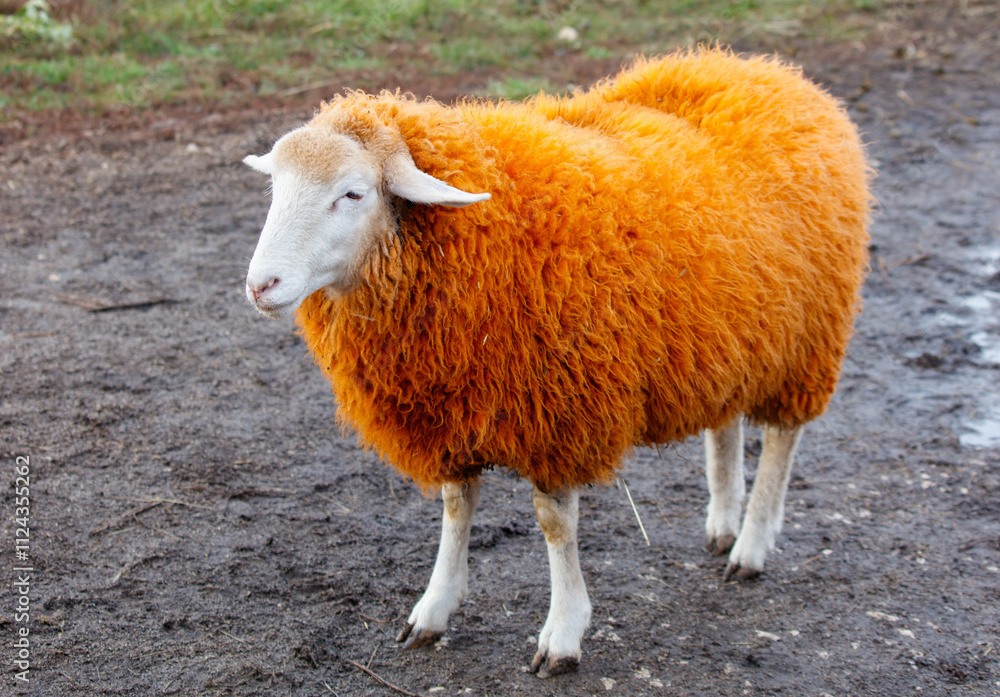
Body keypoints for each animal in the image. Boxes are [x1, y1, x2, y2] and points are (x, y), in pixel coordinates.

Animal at [241, 47, 870, 677]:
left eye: (352, 193)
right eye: (275, 187)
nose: (260, 285)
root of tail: (763, 69)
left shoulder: (561, 412)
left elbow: (554, 525)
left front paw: (563, 633)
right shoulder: (454, 405)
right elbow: (455, 506)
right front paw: (434, 607)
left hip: (806, 342)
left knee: (783, 439)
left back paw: (751, 544)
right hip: (733, 336)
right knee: (726, 420)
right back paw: (723, 521)